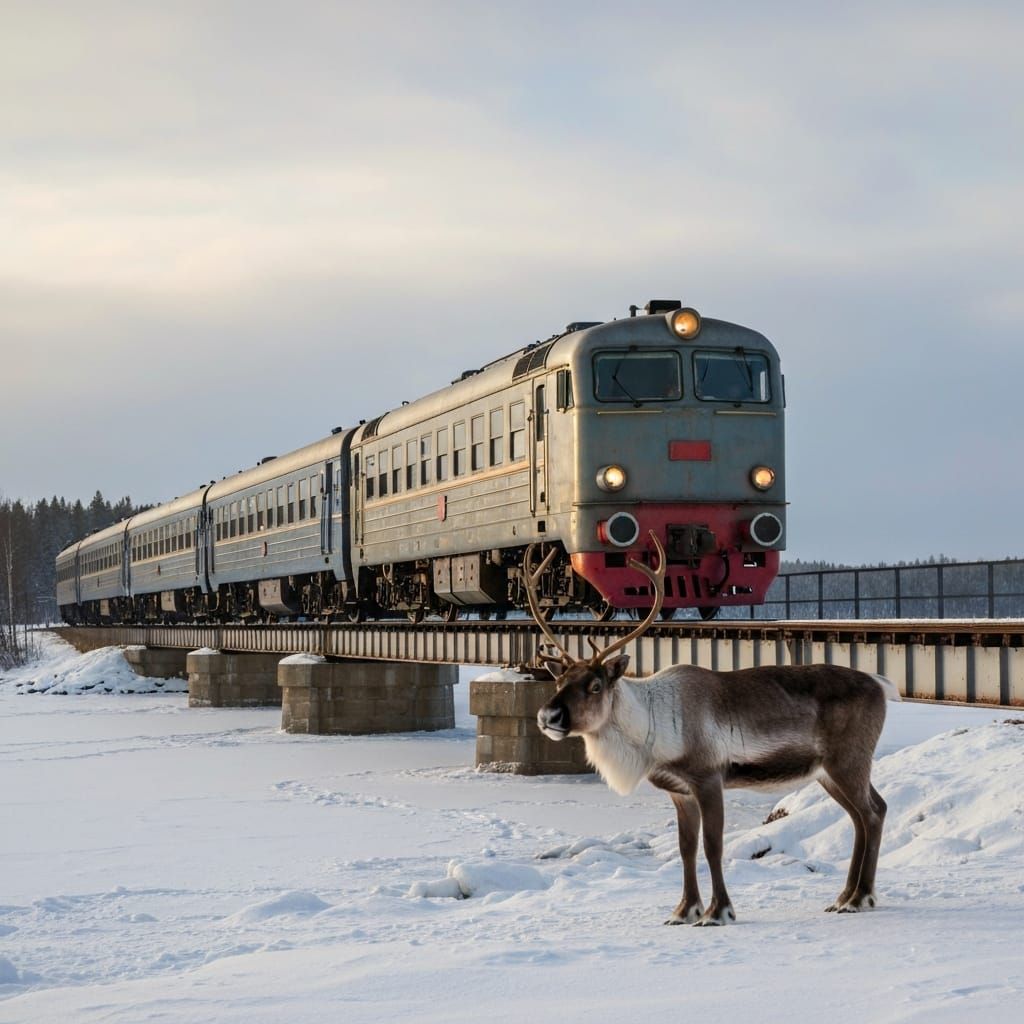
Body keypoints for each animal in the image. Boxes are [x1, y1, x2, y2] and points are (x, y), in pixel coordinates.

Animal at [526, 533, 900, 926]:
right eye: (559, 681)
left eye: (595, 686)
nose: (548, 716)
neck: (650, 727)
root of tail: (880, 684)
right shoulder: (679, 791)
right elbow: (687, 848)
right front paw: (683, 910)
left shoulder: (708, 778)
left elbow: (712, 846)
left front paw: (718, 911)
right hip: (827, 771)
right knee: (863, 815)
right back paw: (845, 896)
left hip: (849, 761)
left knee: (872, 813)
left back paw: (859, 897)